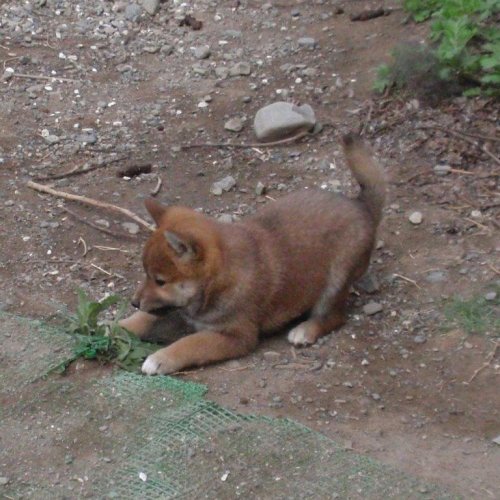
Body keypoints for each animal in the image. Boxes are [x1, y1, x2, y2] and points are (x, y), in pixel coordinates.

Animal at [119, 134, 386, 375]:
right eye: (147, 275)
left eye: (160, 281)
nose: (133, 302)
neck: (218, 280)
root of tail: (361, 206)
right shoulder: (174, 308)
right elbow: (145, 318)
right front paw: (117, 326)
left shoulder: (236, 336)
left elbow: (190, 343)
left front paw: (161, 358)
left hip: (336, 281)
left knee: (335, 316)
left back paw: (306, 330)